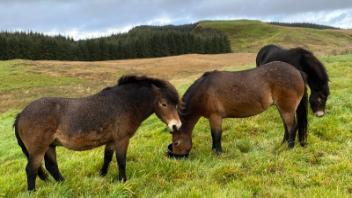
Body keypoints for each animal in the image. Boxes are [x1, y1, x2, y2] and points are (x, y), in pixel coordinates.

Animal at [13, 75, 182, 191]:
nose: (176, 126)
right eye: (164, 104)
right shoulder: (122, 139)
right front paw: (123, 180)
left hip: (49, 146)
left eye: (175, 103)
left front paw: (102, 175)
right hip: (38, 149)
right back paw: (33, 191)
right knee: (31, 169)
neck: (125, 103)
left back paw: (64, 183)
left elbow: (107, 157)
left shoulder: (112, 140)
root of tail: (21, 114)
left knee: (51, 166)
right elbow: (121, 160)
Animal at [169, 61, 306, 157]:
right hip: (282, 108)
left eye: (176, 143)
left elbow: (216, 135)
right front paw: (214, 151)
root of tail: (297, 71)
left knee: (292, 127)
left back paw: (289, 148)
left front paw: (218, 153)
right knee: (286, 126)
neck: (203, 91)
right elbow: (214, 135)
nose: (176, 157)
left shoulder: (215, 117)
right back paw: (282, 145)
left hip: (286, 109)